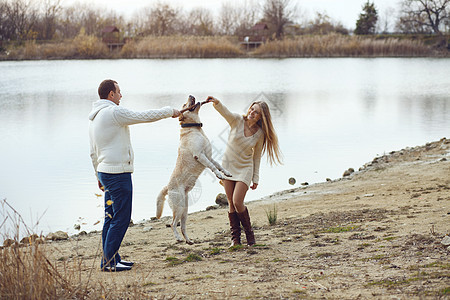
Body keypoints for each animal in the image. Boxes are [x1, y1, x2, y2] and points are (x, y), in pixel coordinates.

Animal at [156, 95, 232, 244]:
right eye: (184, 104)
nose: (191, 95)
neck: (195, 128)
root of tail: (168, 187)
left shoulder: (209, 156)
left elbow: (219, 165)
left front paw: (226, 173)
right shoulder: (200, 155)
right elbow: (213, 167)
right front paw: (219, 175)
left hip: (185, 211)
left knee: (182, 226)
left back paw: (189, 240)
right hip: (179, 207)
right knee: (173, 224)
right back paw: (178, 238)